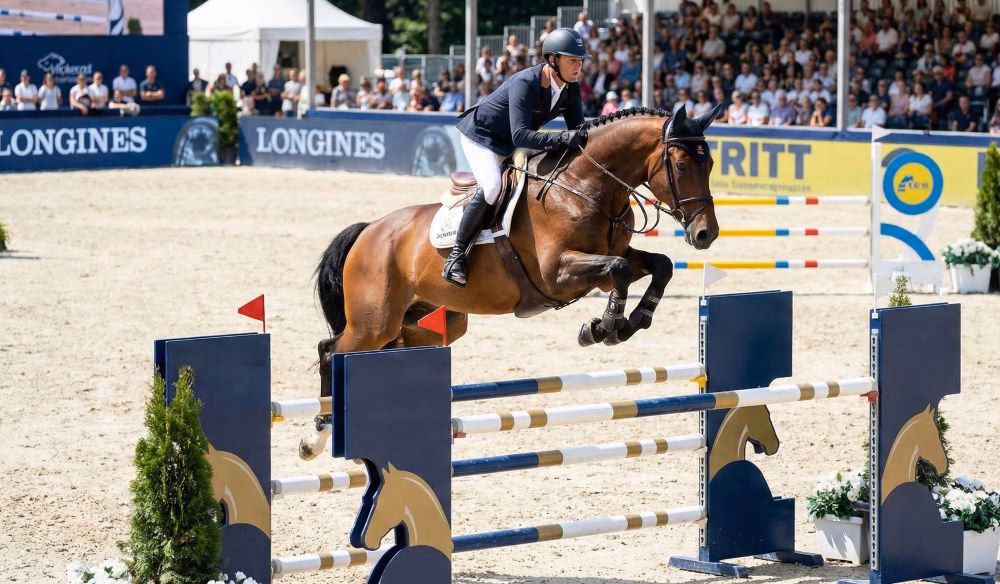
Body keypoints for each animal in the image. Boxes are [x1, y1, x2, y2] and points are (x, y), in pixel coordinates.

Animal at [300, 106, 722, 460]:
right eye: (681, 165)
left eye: (711, 163)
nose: (706, 234)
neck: (584, 186)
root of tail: (369, 230)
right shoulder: (558, 273)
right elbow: (617, 270)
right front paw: (605, 326)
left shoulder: (607, 264)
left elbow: (659, 266)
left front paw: (629, 322)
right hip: (375, 322)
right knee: (330, 351)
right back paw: (316, 437)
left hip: (431, 322)